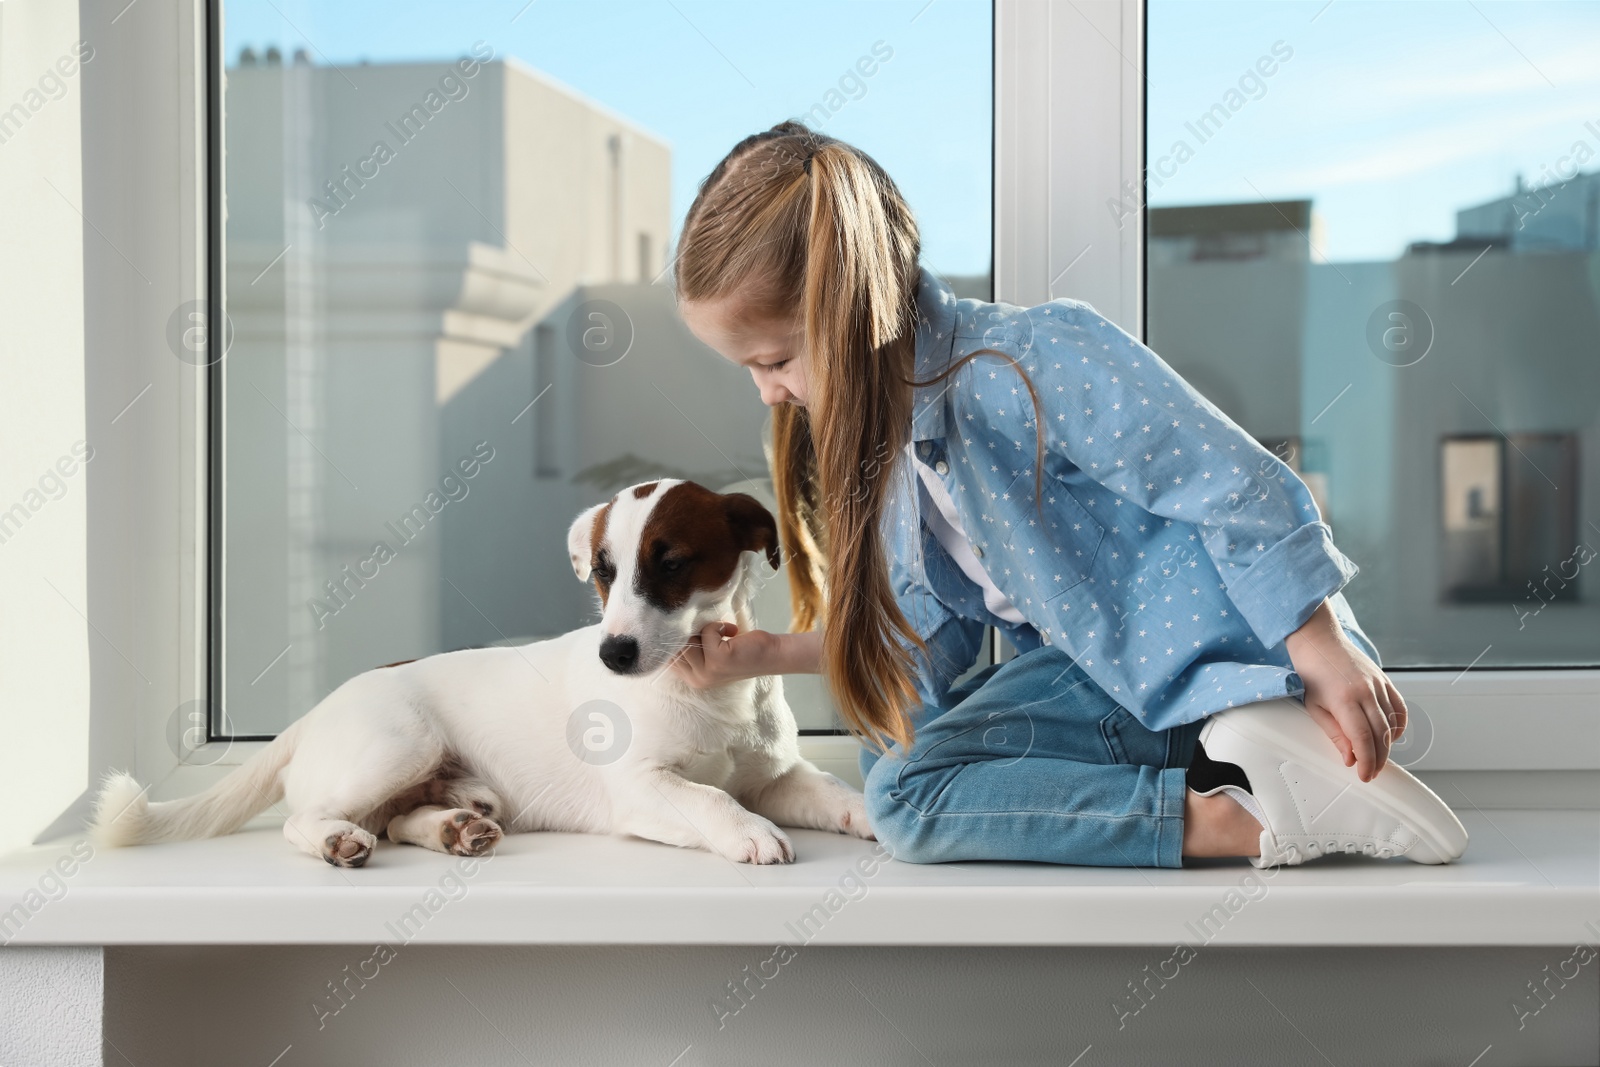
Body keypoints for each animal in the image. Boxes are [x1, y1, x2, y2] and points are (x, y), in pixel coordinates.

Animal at [93, 483, 876, 870]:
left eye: (673, 562)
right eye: (603, 571)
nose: (613, 655)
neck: (708, 688)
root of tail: (313, 715)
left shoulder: (778, 777)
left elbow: (834, 792)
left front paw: (877, 811)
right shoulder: (641, 787)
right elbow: (709, 798)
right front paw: (747, 832)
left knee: (400, 816)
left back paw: (455, 827)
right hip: (397, 744)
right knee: (307, 818)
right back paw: (340, 841)